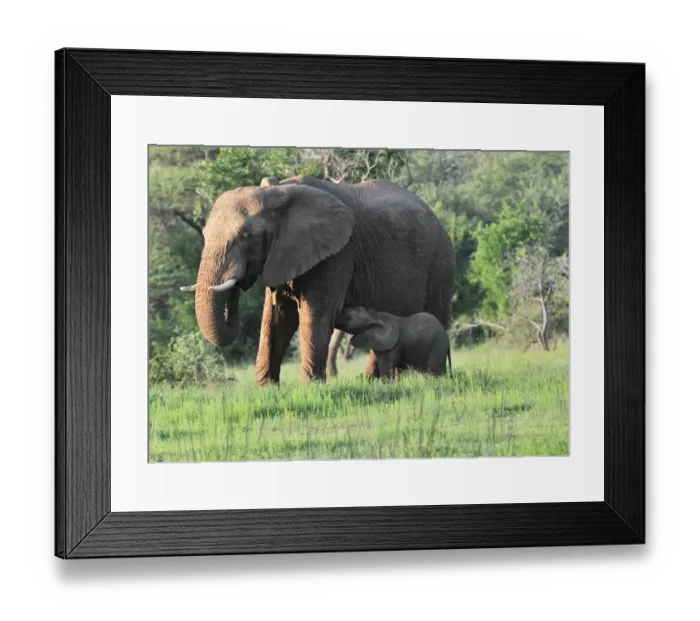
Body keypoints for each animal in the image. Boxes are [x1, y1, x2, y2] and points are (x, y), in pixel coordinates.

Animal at [180, 174, 455, 385]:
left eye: (246, 236)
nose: (239, 281)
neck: (276, 192)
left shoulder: (336, 255)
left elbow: (316, 315)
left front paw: (311, 387)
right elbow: (277, 318)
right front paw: (266, 389)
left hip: (440, 264)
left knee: (434, 316)